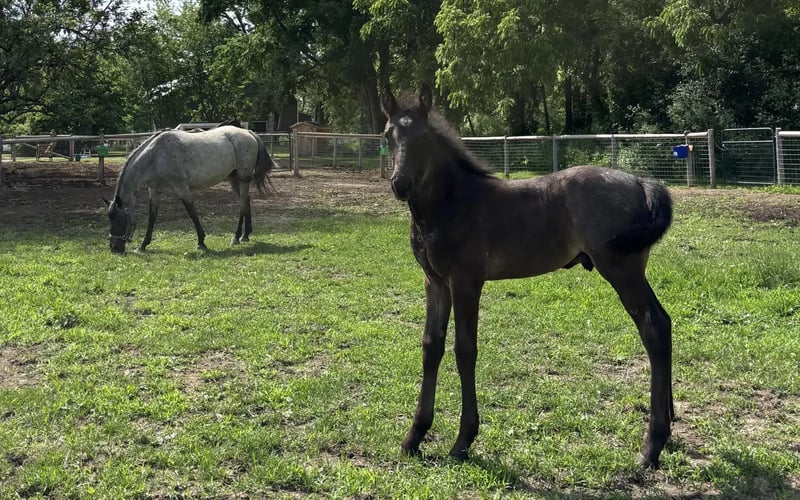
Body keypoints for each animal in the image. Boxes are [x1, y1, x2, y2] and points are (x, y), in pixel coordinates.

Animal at [104, 125, 276, 254]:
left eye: (118, 219)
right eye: (109, 218)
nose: (114, 248)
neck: (155, 156)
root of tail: (249, 133)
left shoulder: (181, 188)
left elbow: (192, 213)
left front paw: (201, 242)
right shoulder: (155, 190)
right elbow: (152, 217)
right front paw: (143, 245)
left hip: (242, 178)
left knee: (242, 203)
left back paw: (236, 237)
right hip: (234, 179)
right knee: (246, 201)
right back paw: (245, 235)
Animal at [381, 84, 674, 468]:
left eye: (424, 137)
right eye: (388, 135)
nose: (401, 184)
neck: (452, 204)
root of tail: (641, 183)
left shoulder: (466, 281)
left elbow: (465, 350)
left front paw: (463, 441)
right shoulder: (435, 282)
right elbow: (432, 346)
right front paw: (414, 436)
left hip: (622, 270)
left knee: (653, 328)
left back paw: (651, 445)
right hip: (633, 271)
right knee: (664, 322)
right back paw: (668, 428)